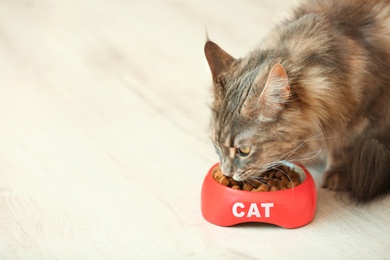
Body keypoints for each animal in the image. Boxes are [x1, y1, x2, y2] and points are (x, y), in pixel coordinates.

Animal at [204, 0, 390, 203]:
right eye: (216, 144)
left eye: (244, 150)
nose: (226, 173)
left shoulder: (367, 111)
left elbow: (344, 146)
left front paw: (337, 173)